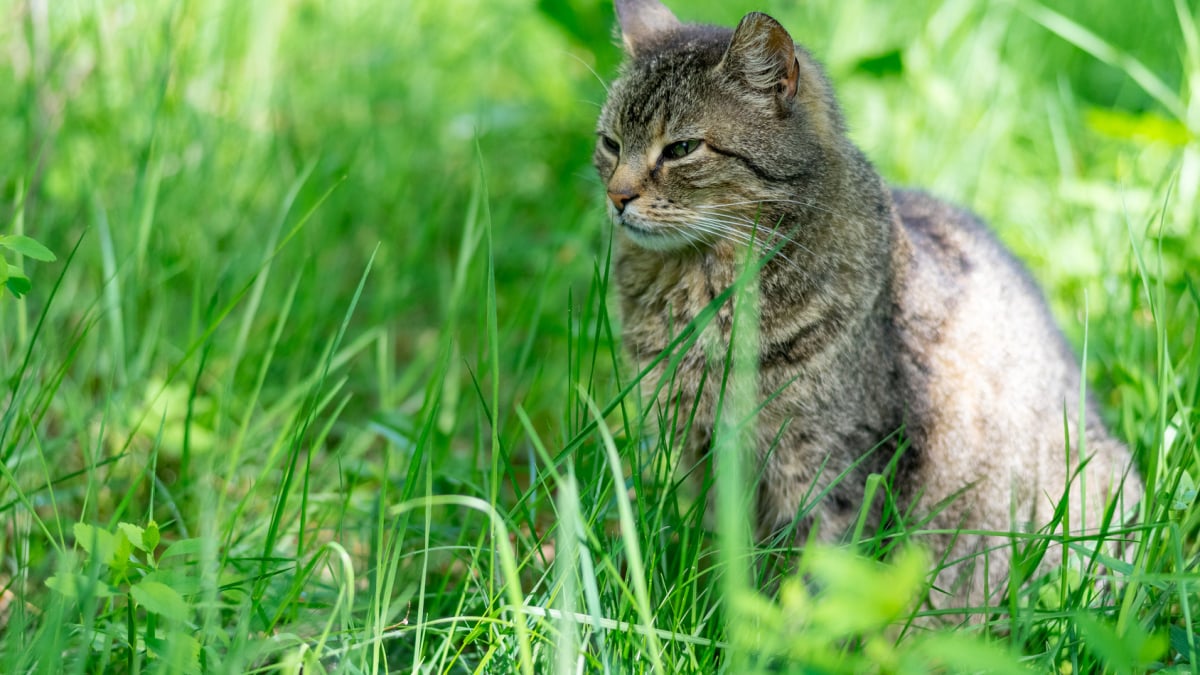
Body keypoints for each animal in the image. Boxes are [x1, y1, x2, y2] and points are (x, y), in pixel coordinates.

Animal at [595, 0, 1137, 610]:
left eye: (682, 149)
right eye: (611, 143)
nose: (617, 196)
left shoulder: (833, 466)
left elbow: (818, 578)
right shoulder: (703, 453)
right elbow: (728, 559)